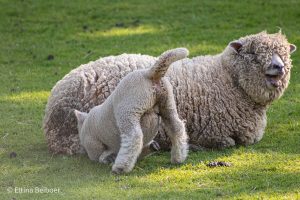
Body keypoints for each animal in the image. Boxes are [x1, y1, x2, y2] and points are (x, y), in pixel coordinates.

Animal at [42, 30, 296, 155]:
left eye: (284, 52)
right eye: (252, 53)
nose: (279, 67)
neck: (226, 79)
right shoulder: (214, 132)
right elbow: (226, 143)